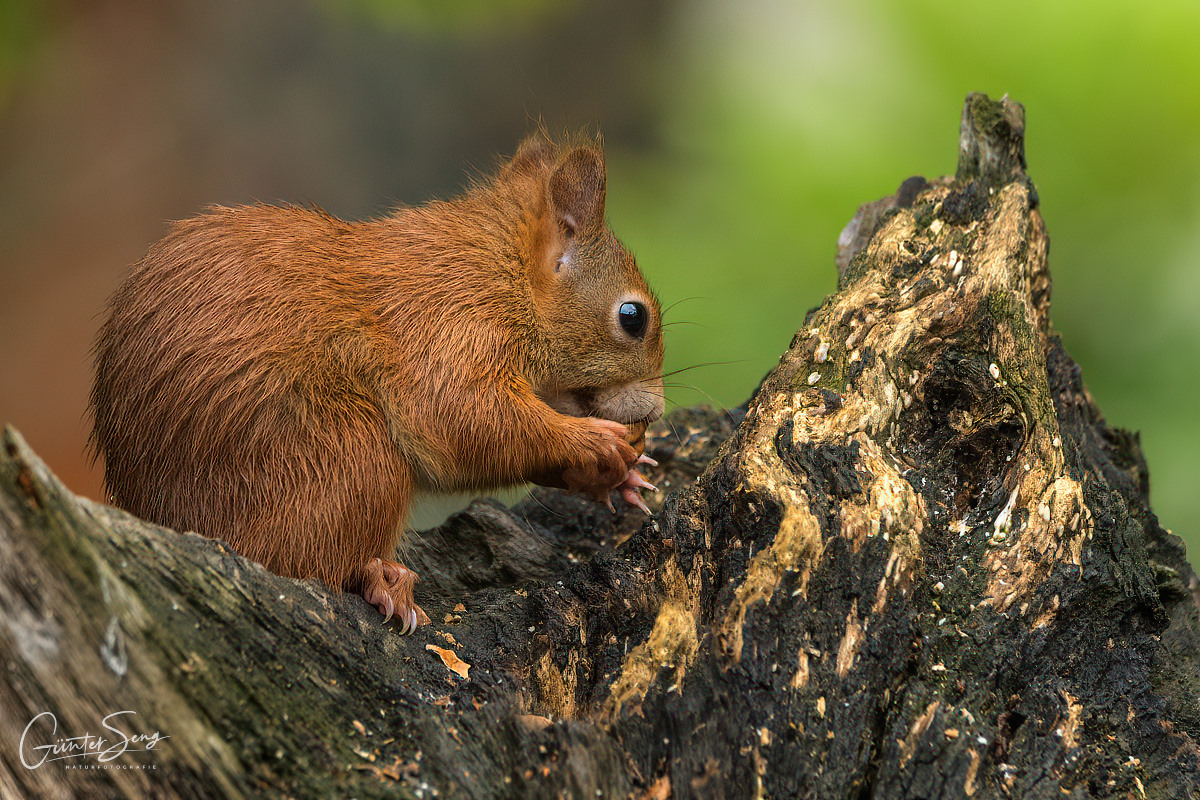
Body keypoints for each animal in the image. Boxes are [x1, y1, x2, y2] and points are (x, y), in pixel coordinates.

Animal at [91, 133, 667, 633]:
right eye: (632, 317)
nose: (657, 411)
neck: (502, 274)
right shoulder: (449, 330)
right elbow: (466, 420)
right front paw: (594, 442)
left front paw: (622, 477)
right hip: (347, 454)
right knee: (299, 561)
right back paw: (381, 581)